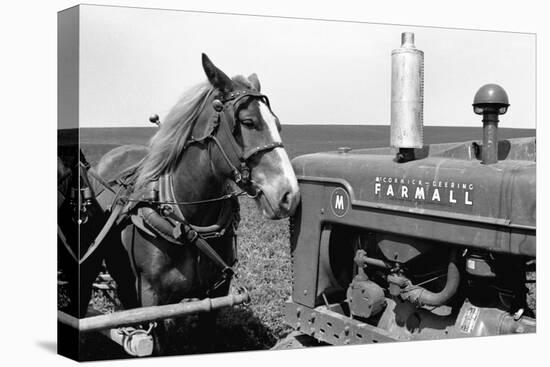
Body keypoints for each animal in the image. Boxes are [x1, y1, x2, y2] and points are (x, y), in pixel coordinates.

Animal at [95, 54, 302, 354]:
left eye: (278, 124)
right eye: (248, 122)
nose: (289, 195)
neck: (188, 223)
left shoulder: (215, 295)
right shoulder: (151, 301)